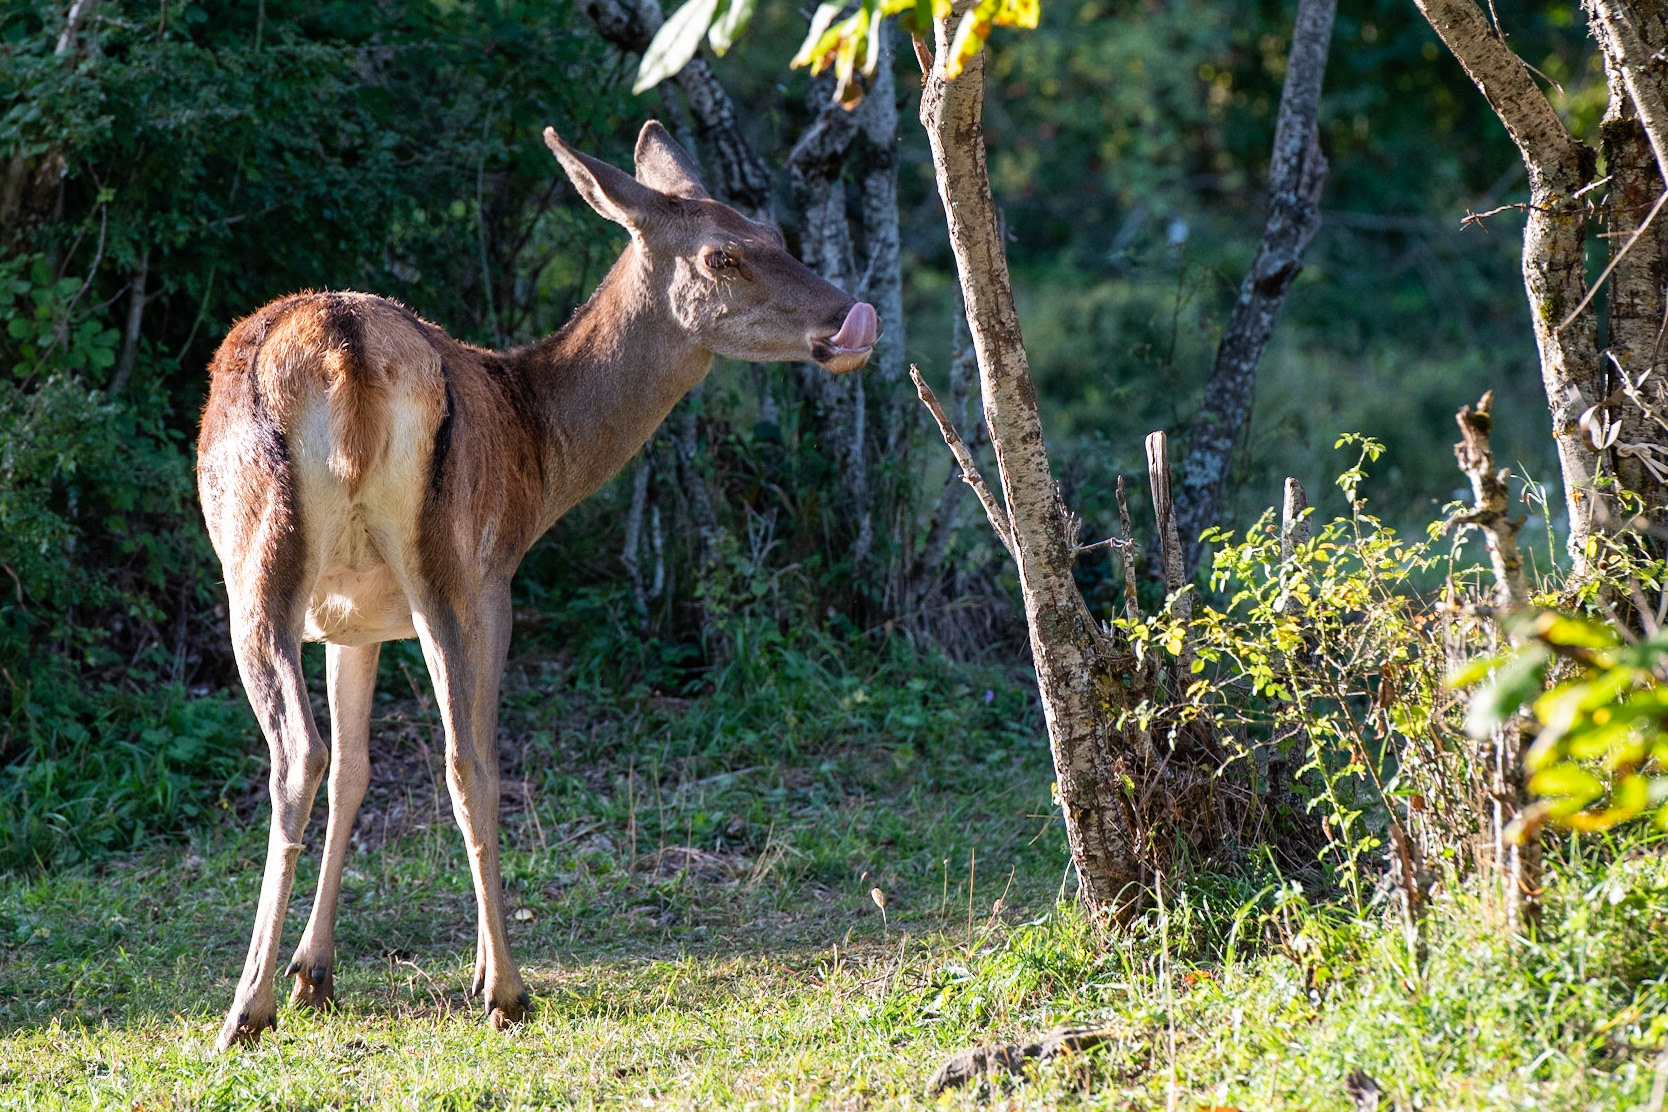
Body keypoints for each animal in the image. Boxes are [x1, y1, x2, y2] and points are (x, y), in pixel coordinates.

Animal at [195, 120, 879, 1049]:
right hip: (407, 568)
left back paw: (275, 999)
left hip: (332, 572)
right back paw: (468, 993)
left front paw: (317, 971)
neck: (540, 451)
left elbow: (358, 772)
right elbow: (415, 763)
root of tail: (347, 349)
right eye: (724, 256)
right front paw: (371, 973)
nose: (850, 321)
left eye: (774, 231)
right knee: (446, 759)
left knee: (338, 754)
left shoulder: (353, 620)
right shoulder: (495, 579)